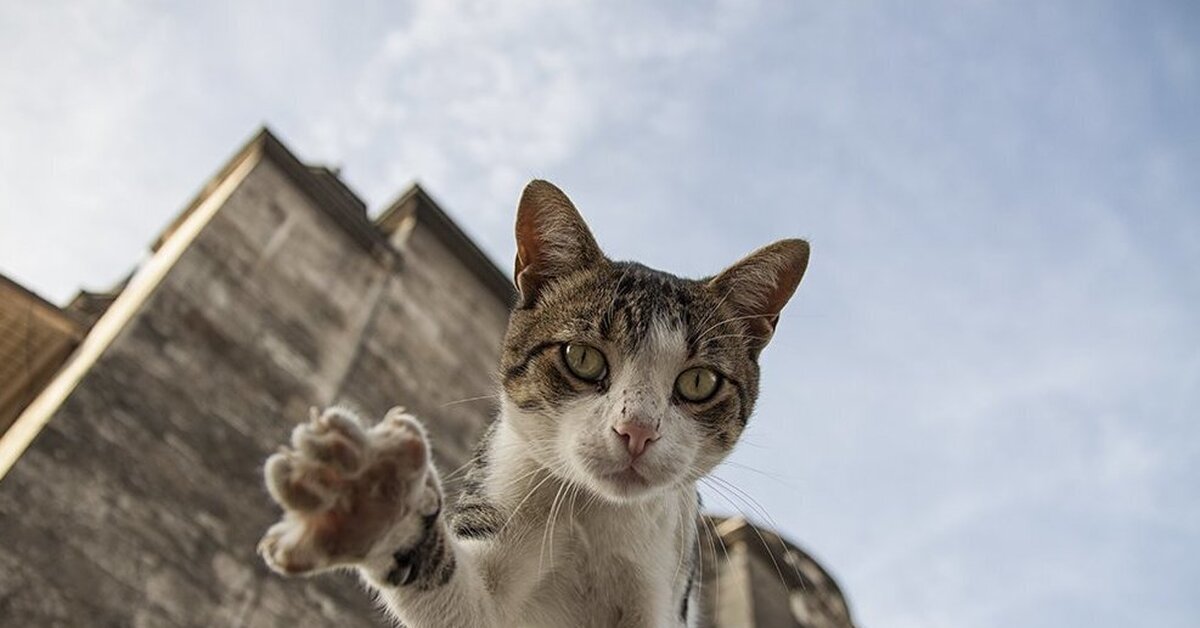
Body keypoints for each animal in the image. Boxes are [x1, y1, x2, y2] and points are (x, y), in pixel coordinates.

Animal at [258, 178, 811, 624]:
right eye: (581, 357)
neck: (596, 516)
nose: (637, 430)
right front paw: (372, 498)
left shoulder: (667, 581)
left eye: (698, 382)